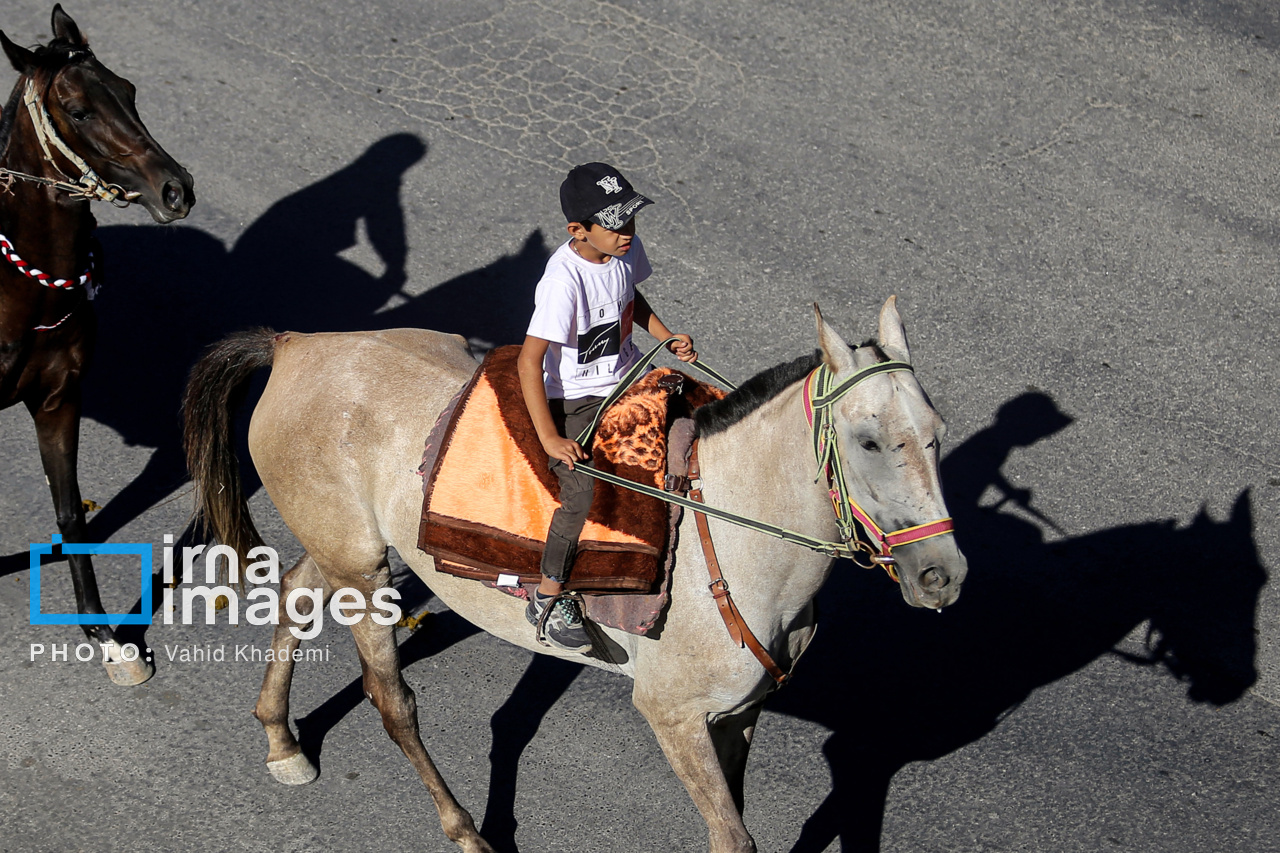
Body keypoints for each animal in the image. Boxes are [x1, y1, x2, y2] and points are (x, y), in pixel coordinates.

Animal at [1, 4, 192, 686]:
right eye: (78, 111)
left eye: (130, 92)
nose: (175, 188)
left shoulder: (59, 398)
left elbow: (70, 512)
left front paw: (106, 636)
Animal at [183, 294, 967, 850]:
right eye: (868, 441)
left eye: (936, 432)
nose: (941, 573)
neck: (734, 531)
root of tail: (294, 345)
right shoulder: (674, 715)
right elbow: (732, 835)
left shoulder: (740, 710)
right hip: (364, 573)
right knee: (392, 700)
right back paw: (466, 831)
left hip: (350, 548)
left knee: (295, 592)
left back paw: (281, 737)